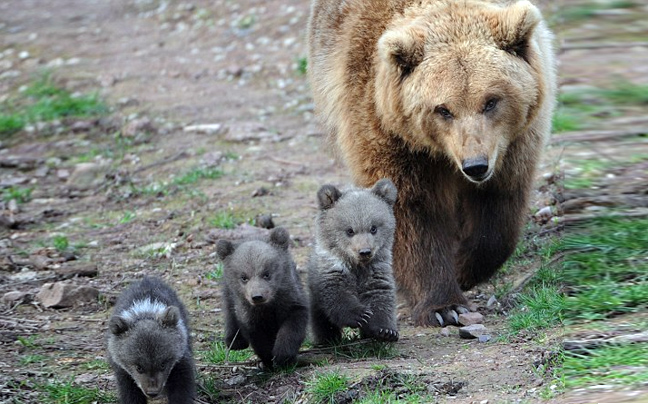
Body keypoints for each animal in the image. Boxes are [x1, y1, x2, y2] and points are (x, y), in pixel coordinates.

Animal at [308, 0, 556, 326]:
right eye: (443, 109)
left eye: (491, 101)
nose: (475, 166)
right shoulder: (388, 133)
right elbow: (412, 213)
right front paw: (444, 306)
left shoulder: (513, 144)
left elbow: (497, 211)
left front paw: (464, 266)